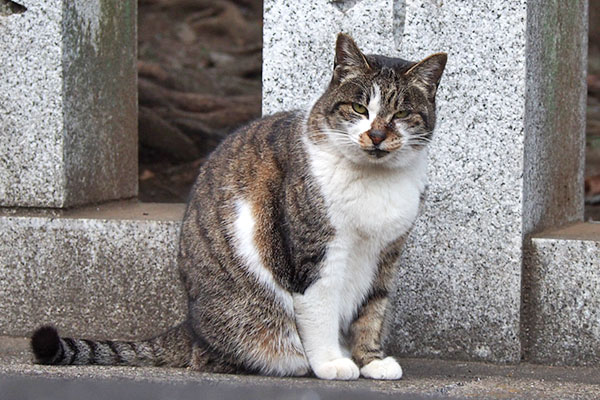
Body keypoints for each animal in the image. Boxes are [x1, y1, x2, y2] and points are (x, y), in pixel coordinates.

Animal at [31, 32, 446, 380]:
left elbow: (372, 310)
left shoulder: (386, 254)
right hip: (249, 317)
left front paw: (371, 361)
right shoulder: (314, 254)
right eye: (359, 108)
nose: (376, 135)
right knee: (218, 354)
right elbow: (321, 308)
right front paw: (332, 362)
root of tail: (190, 326)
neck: (374, 180)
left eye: (401, 114)